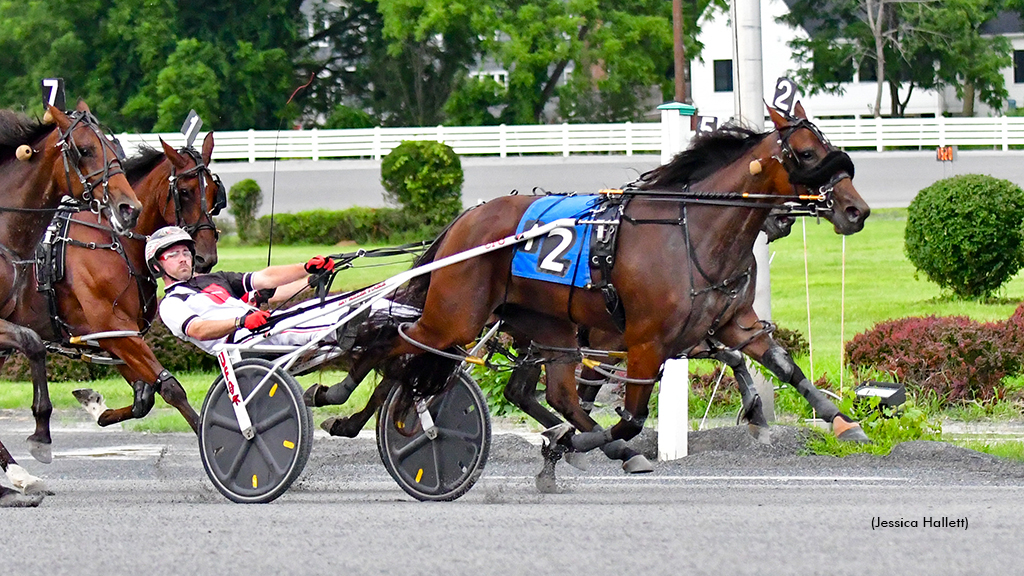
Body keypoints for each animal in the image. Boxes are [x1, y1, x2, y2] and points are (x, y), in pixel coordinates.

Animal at [0, 101, 141, 502]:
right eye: (85, 149)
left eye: (114, 146)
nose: (129, 208)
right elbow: (33, 343)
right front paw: (41, 435)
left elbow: (32, 344)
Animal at [6, 132, 222, 446]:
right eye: (184, 191)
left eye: (215, 194)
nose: (205, 257)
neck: (113, 241)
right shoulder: (115, 329)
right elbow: (171, 389)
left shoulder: (114, 337)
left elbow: (144, 398)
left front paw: (99, 408)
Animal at [356, 101, 868, 479]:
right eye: (805, 153)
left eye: (830, 145)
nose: (856, 210)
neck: (693, 231)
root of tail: (463, 220)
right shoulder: (641, 341)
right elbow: (631, 418)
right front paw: (582, 442)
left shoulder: (732, 323)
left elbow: (782, 366)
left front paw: (841, 421)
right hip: (460, 316)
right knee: (403, 348)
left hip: (544, 326)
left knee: (542, 392)